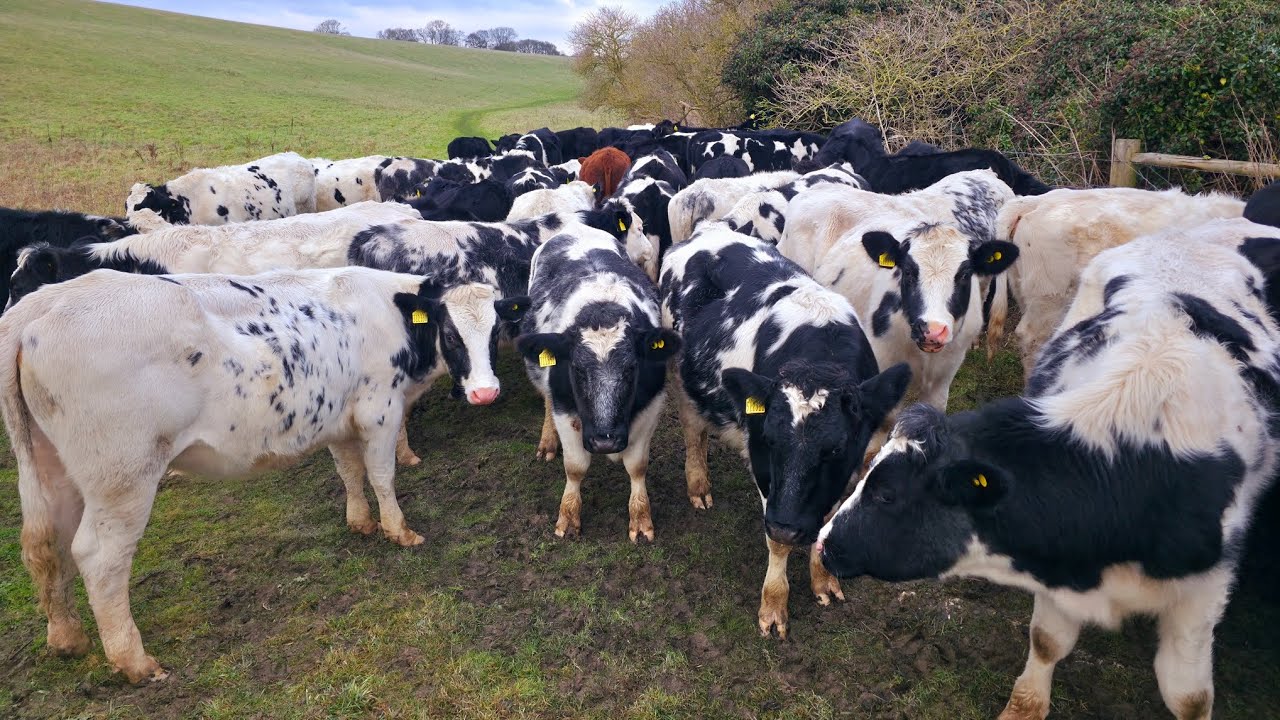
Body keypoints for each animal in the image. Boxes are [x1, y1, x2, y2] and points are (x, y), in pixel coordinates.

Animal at [1, 265, 455, 683]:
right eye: (452, 332)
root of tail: (47, 300)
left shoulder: (340, 421)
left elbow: (348, 471)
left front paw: (360, 522)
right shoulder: (379, 410)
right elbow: (381, 474)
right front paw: (400, 531)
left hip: (53, 467)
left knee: (49, 544)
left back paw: (66, 637)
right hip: (122, 476)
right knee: (98, 557)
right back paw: (134, 661)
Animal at [516, 229, 680, 542]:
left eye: (631, 368)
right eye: (577, 369)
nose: (605, 441)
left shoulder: (651, 406)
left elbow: (637, 466)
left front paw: (640, 518)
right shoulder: (565, 409)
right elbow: (575, 467)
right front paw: (568, 516)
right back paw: (547, 442)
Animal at [660, 224, 910, 638]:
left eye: (835, 449)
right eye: (770, 440)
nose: (787, 527)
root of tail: (709, 229)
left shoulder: (847, 469)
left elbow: (826, 521)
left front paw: (823, 580)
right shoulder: (765, 471)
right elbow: (775, 546)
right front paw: (774, 605)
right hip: (681, 379)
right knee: (693, 430)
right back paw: (698, 485)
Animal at [818, 219, 1280, 720]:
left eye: (886, 494)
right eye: (905, 269)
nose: (823, 544)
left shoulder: (1203, 593)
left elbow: (1188, 696)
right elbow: (1047, 641)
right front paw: (1025, 706)